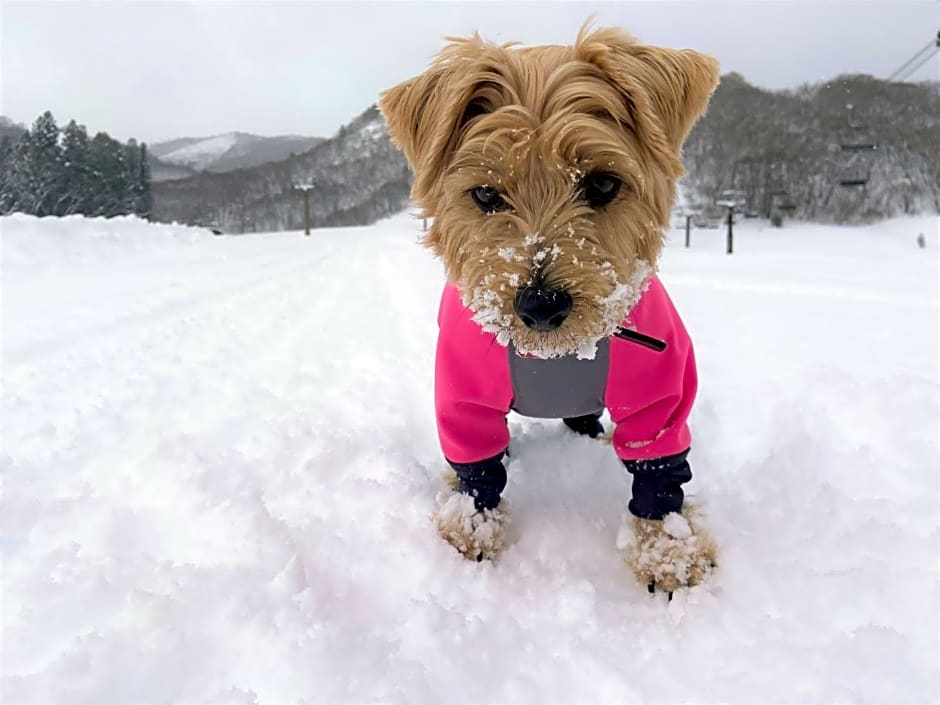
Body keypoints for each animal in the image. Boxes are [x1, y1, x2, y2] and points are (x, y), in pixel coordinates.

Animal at [382, 24, 720, 592]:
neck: (556, 356)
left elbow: (659, 467)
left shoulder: (658, 395)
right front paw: (472, 527)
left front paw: (668, 550)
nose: (540, 305)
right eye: (485, 194)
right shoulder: (462, 394)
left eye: (603, 183)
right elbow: (476, 465)